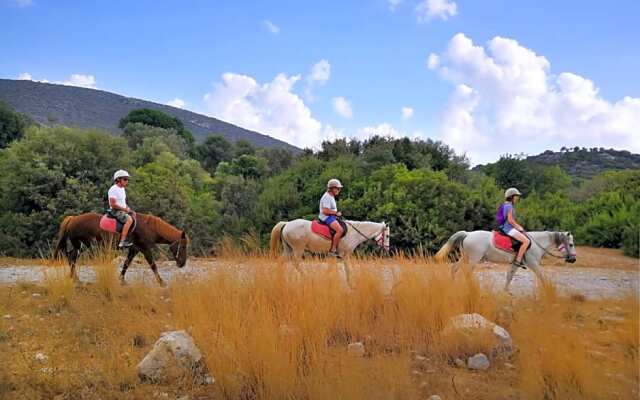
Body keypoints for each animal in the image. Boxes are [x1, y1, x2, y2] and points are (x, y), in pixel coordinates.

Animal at [53, 212, 189, 284]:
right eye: (183, 246)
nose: (182, 264)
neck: (149, 227)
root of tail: (73, 219)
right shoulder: (144, 248)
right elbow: (153, 265)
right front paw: (161, 282)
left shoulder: (134, 249)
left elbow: (126, 264)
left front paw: (122, 279)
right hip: (83, 245)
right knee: (72, 258)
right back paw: (75, 278)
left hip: (81, 246)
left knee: (71, 257)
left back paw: (74, 277)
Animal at [436, 231, 576, 290]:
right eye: (571, 244)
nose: (573, 259)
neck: (536, 242)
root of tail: (468, 234)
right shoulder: (533, 264)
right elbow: (541, 276)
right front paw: (548, 289)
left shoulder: (516, 264)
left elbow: (509, 276)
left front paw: (506, 291)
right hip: (473, 259)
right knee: (466, 273)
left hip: (465, 257)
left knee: (454, 268)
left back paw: (453, 284)